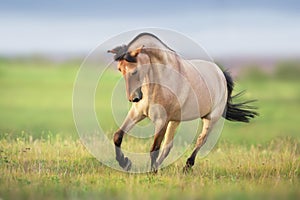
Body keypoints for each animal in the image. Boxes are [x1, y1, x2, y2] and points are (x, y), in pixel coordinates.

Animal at [108, 32, 258, 172]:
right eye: (120, 69)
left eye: (135, 71)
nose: (134, 98)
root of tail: (220, 74)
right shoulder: (137, 113)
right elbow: (118, 136)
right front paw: (125, 163)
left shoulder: (162, 120)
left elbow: (154, 148)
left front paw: (150, 172)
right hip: (175, 120)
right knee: (168, 146)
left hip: (210, 118)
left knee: (201, 140)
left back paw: (187, 166)